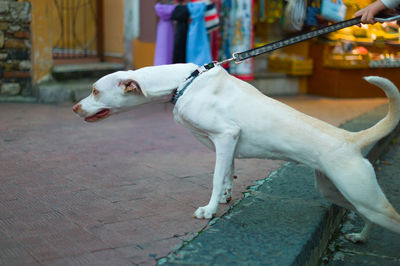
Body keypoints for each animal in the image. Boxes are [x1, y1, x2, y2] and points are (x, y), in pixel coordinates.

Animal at [73, 62, 400, 243]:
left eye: (95, 90)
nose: (74, 108)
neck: (184, 82)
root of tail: (351, 139)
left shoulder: (225, 135)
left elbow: (216, 177)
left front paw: (209, 210)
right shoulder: (227, 144)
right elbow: (227, 172)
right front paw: (226, 196)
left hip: (364, 196)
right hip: (340, 192)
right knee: (364, 215)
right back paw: (359, 238)